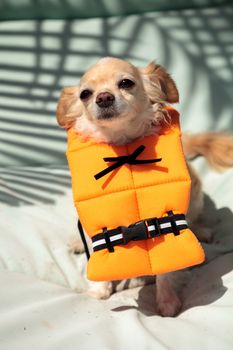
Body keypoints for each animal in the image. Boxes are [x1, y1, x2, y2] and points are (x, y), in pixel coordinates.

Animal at [56, 56, 233, 318]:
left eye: (126, 83)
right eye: (85, 94)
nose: (104, 97)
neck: (123, 146)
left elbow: (166, 269)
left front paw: (167, 302)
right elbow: (98, 246)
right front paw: (99, 289)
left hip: (197, 194)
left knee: (194, 217)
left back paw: (201, 231)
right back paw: (79, 242)